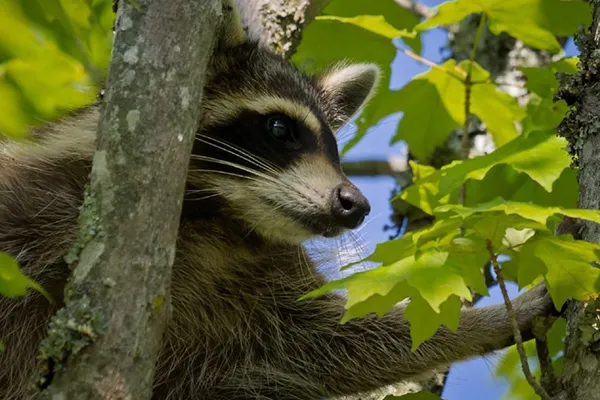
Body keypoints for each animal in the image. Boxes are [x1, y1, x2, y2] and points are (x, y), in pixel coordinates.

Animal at [0, 0, 556, 400]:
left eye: (335, 148)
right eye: (278, 128)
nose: (356, 204)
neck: (213, 218)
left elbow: (336, 343)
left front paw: (488, 323)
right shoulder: (36, 205)